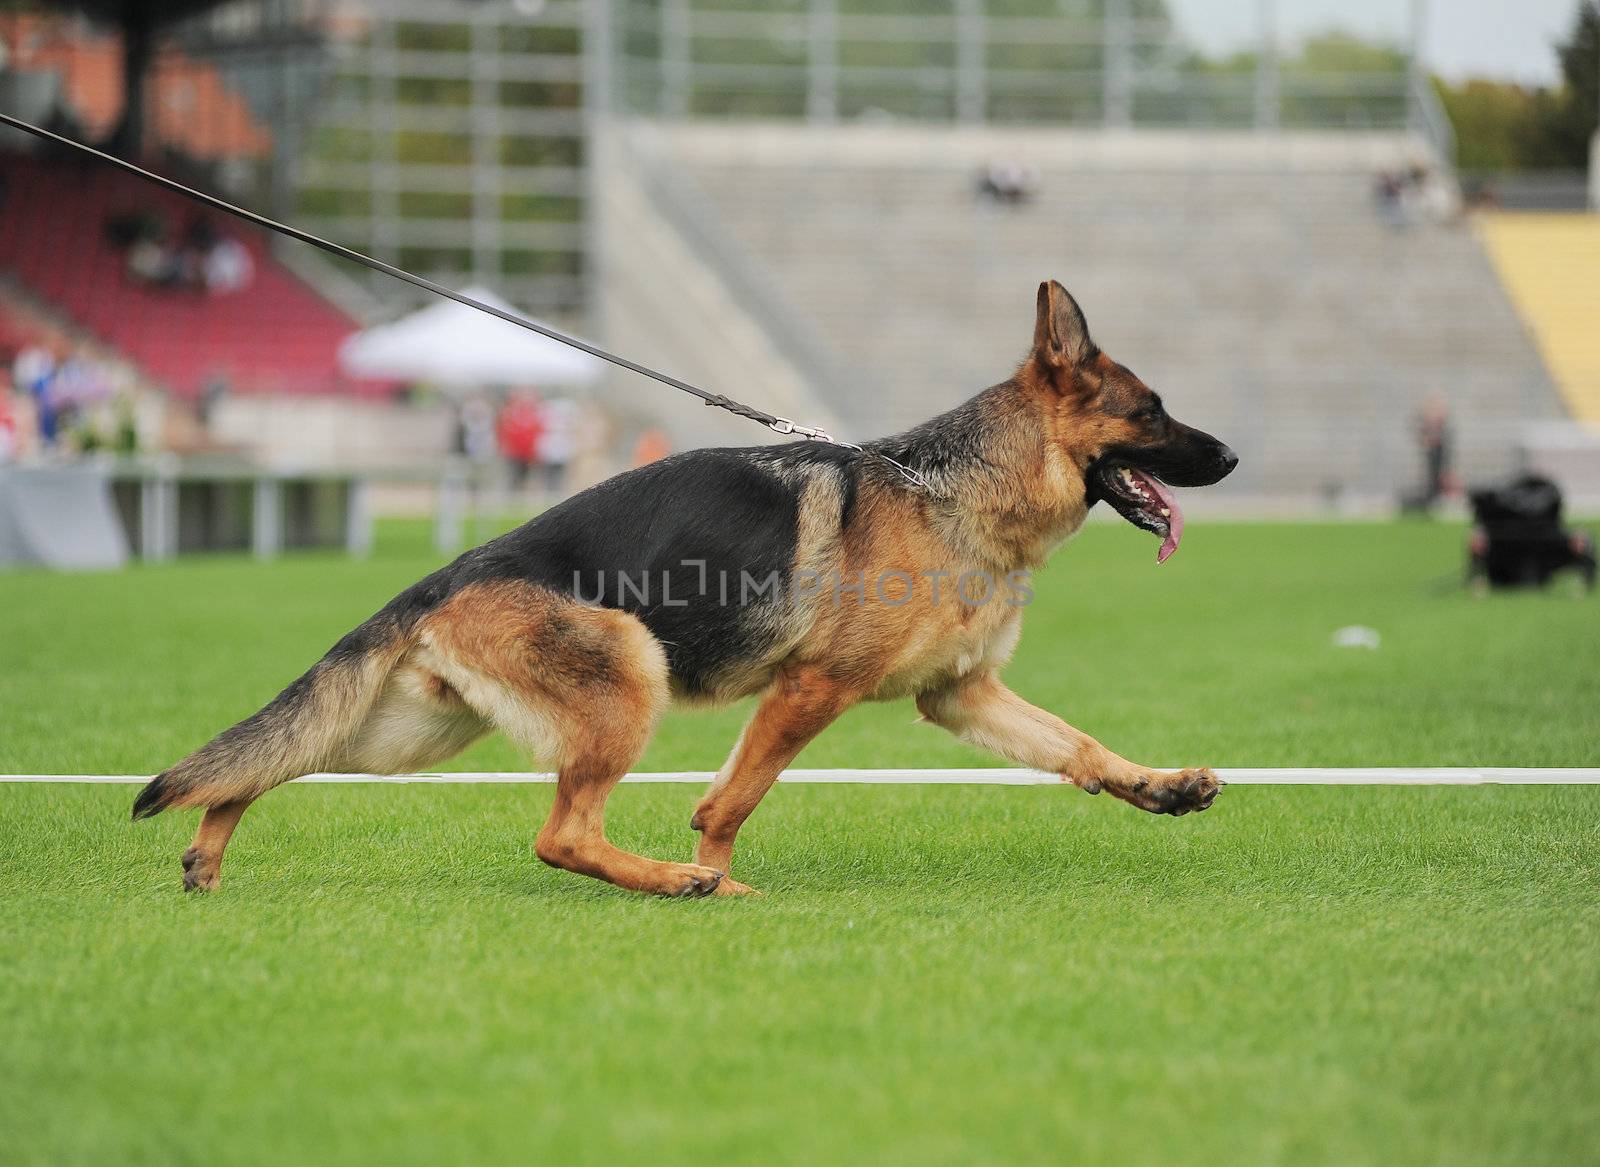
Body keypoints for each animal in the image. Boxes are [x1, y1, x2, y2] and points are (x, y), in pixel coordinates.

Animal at [134, 280, 1235, 890]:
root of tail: (452, 571)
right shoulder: (812, 689)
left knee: (268, 762)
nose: (1231, 455)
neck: (955, 488)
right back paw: (675, 885)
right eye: (1153, 410)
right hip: (630, 672)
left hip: (413, 735)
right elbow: (732, 802)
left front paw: (1158, 785)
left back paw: (210, 849)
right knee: (561, 834)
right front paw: (716, 875)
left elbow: (1076, 746)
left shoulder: (959, 695)